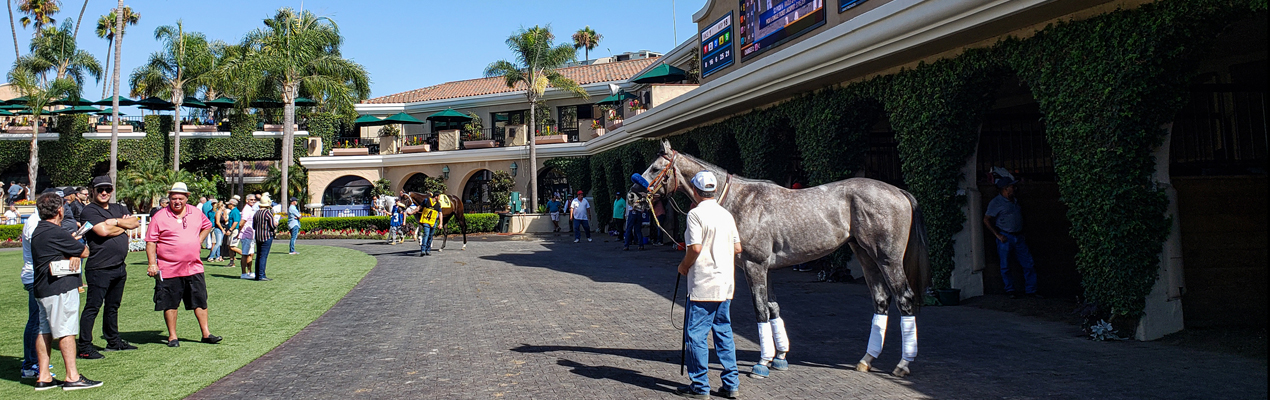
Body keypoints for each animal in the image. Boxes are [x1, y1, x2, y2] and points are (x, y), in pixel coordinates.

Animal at [640, 141, 929, 378]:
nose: (633, 195)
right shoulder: (766, 269)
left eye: (655, 168)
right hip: (866, 256)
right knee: (881, 300)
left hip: (888, 260)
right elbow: (773, 308)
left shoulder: (754, 266)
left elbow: (760, 309)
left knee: (904, 299)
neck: (740, 201)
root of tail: (899, 192)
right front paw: (779, 357)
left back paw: (902, 364)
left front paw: (762, 363)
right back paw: (866, 359)